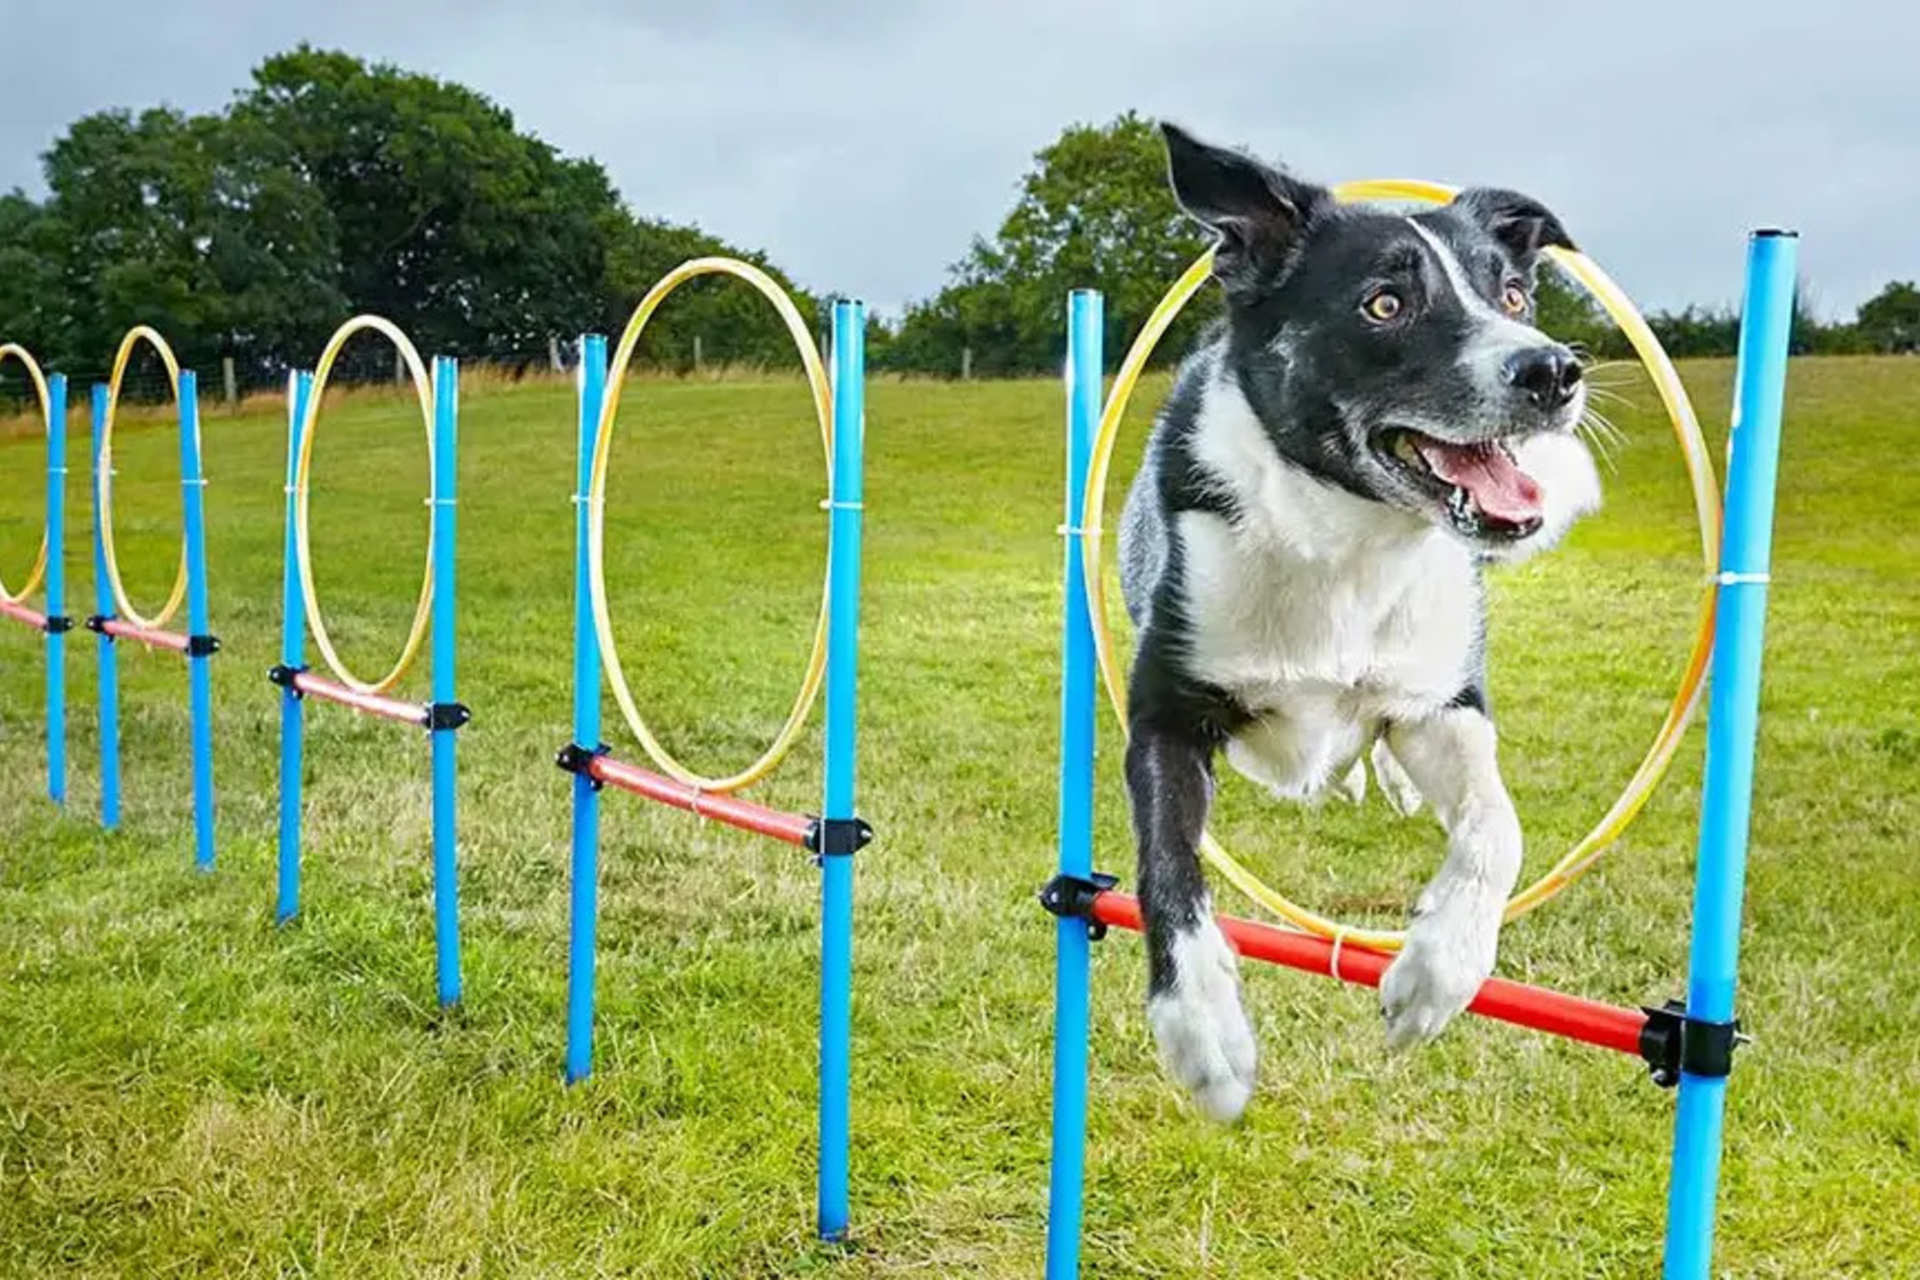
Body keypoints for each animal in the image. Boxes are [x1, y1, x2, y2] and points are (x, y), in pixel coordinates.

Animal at [1121, 122, 1605, 1120]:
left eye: (1512, 294)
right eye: (1386, 303)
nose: (1552, 369)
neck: (1348, 540)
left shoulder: (1441, 702)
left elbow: (1498, 826)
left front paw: (1435, 974)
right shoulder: (1167, 714)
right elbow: (1168, 864)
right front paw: (1204, 1032)